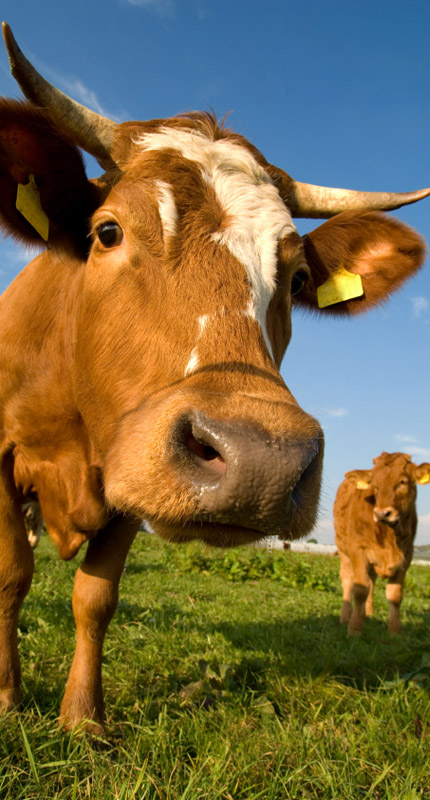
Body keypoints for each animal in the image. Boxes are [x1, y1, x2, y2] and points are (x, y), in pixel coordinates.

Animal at [334, 452, 430, 636]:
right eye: (375, 485)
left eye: (402, 482)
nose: (382, 513)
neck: (389, 537)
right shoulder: (358, 550)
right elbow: (359, 590)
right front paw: (354, 629)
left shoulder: (407, 556)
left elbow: (395, 595)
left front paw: (395, 631)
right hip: (343, 549)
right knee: (347, 580)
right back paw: (345, 616)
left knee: (371, 581)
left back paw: (367, 614)